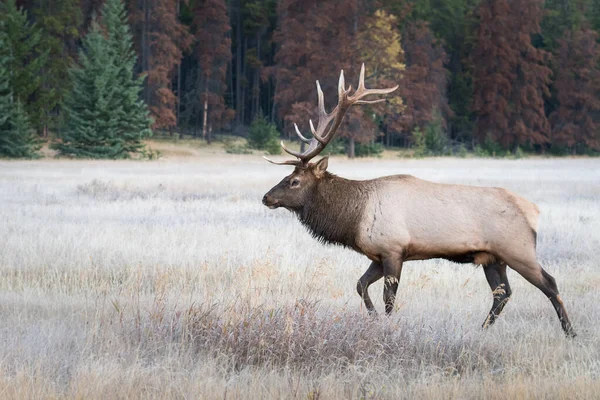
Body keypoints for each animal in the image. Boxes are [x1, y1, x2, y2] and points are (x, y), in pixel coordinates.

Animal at [262, 64, 576, 336]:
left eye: (294, 181)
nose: (266, 197)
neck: (354, 219)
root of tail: (534, 211)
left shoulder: (393, 250)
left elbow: (389, 299)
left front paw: (387, 326)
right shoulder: (378, 255)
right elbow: (360, 285)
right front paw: (373, 319)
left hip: (518, 249)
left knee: (549, 283)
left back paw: (570, 332)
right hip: (493, 258)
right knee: (503, 293)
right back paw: (482, 330)